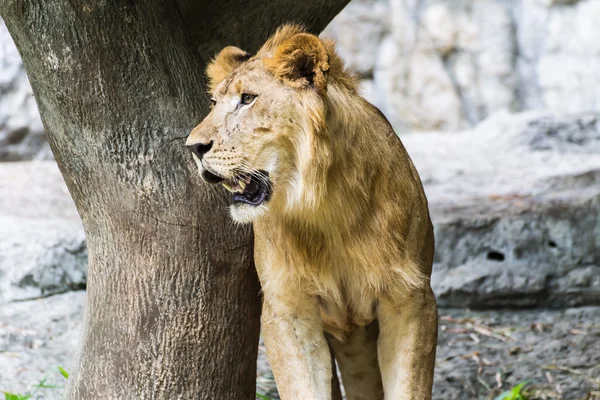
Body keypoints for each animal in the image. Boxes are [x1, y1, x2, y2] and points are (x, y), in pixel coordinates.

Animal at [185, 25, 438, 400]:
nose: (193, 148)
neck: (325, 207)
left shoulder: (411, 300)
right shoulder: (286, 309)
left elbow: (409, 388)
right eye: (214, 104)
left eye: (248, 99)